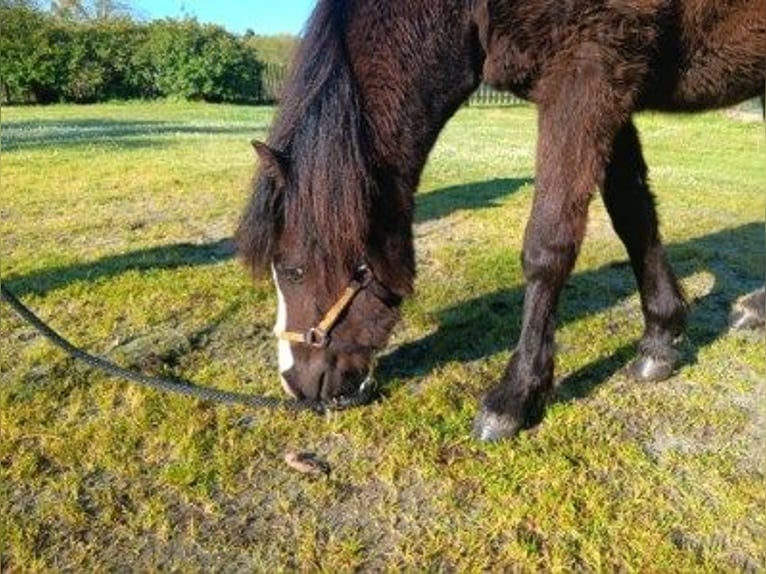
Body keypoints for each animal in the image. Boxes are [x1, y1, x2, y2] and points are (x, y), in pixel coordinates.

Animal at [236, 0, 765, 441]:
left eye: (292, 270)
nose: (294, 384)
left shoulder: (588, 72)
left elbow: (547, 246)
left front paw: (515, 397)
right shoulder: (616, 84)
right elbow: (632, 213)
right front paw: (660, 337)